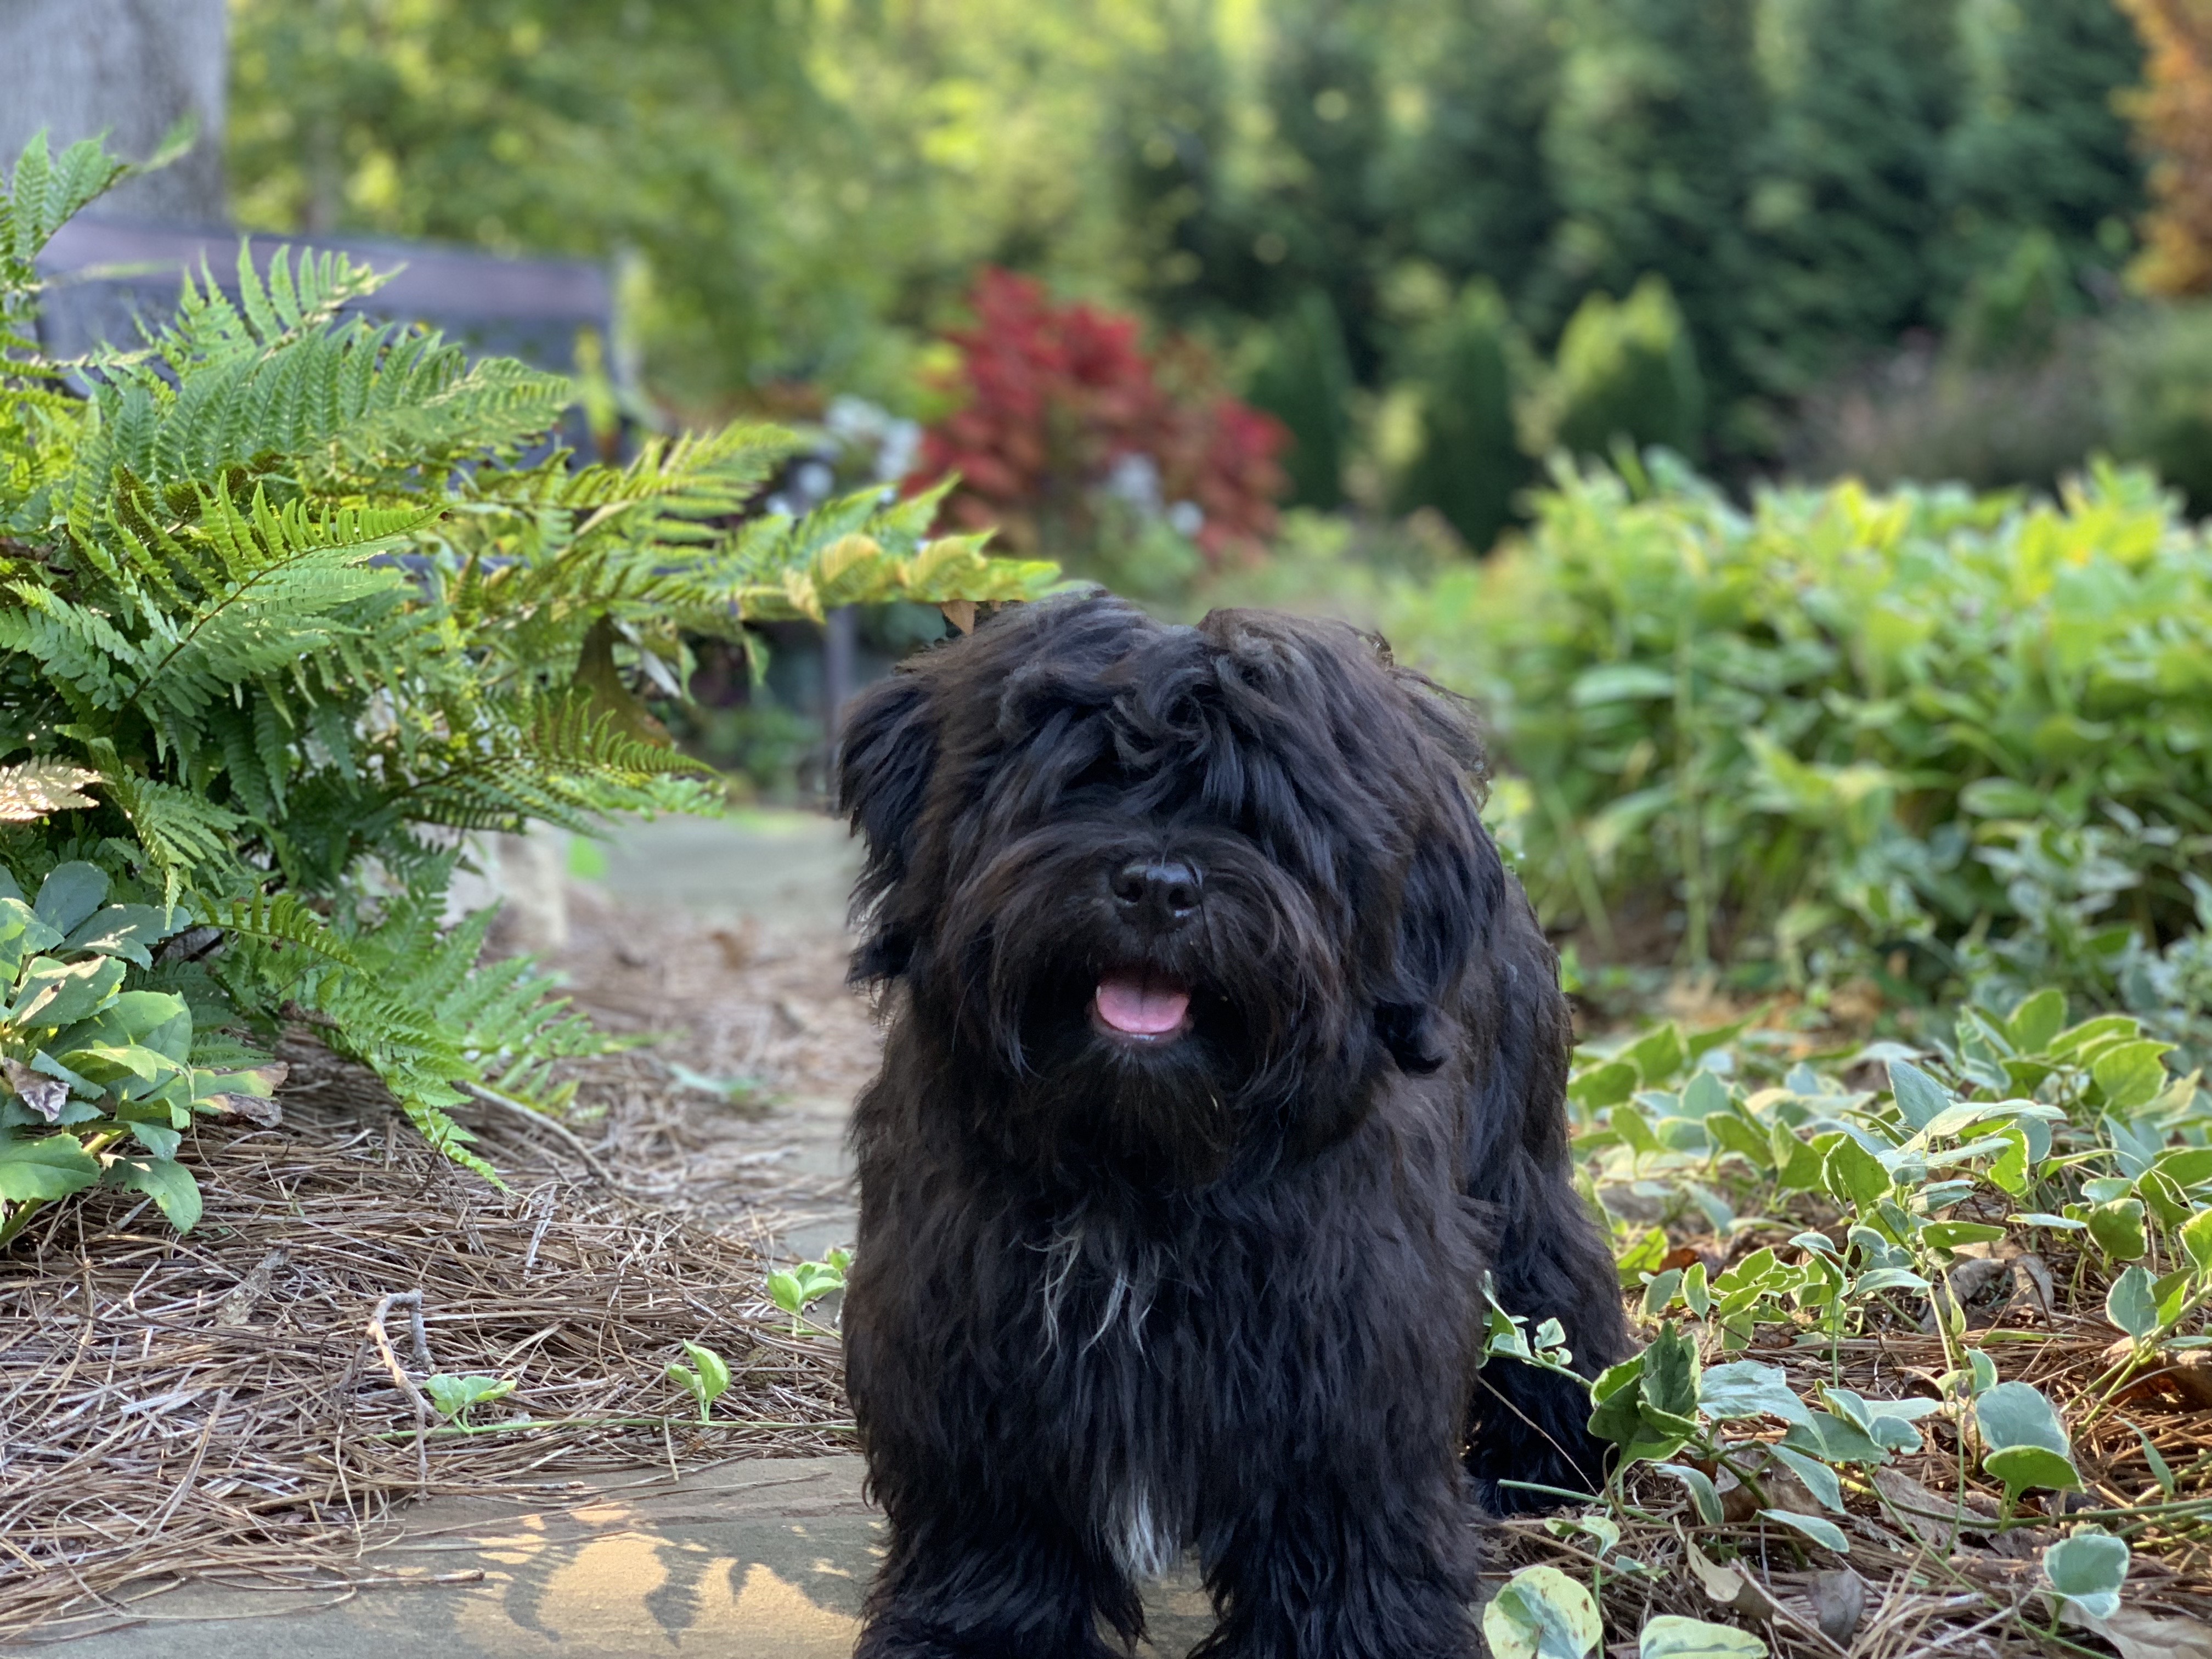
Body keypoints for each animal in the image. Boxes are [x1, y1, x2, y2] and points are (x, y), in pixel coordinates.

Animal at [832, 597, 1628, 1659]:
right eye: (1083, 777)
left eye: (1264, 814)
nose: (1159, 886)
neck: (1139, 1163)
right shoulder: (964, 1311)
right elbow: (998, 1500)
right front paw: (981, 1632)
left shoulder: (1349, 1330)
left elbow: (1341, 1507)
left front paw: (1360, 1638)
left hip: (1517, 1163)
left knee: (1554, 1284)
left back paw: (1545, 1461)